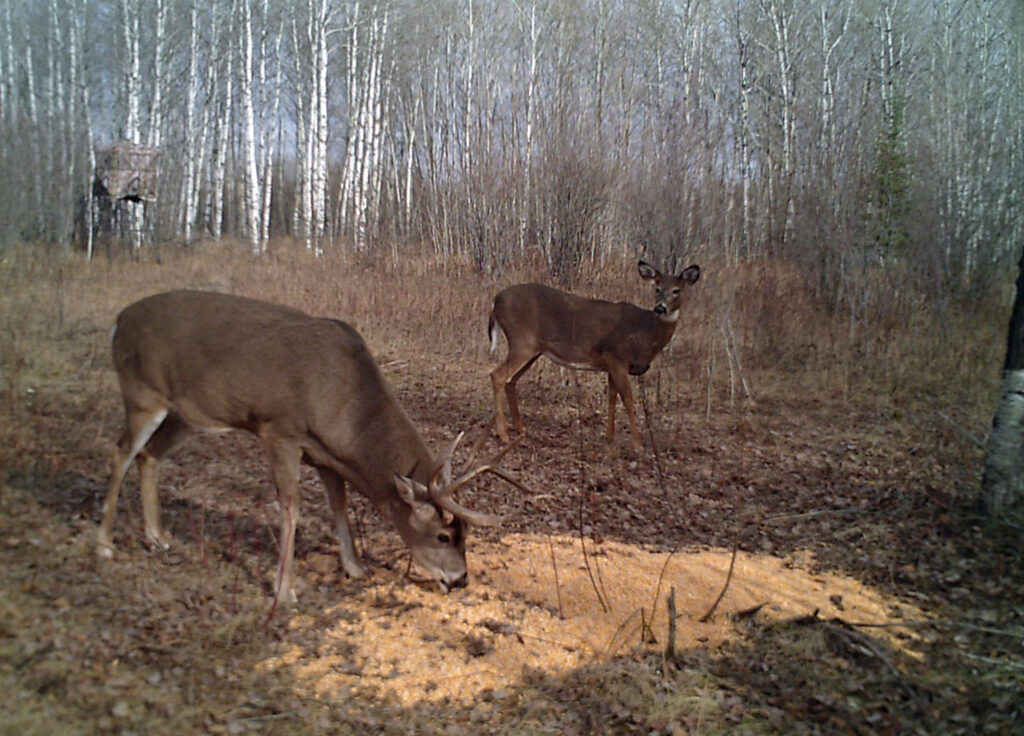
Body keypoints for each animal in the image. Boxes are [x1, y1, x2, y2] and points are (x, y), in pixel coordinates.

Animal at [98, 290, 524, 605]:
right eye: (442, 536)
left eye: (464, 533)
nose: (461, 579)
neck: (346, 406)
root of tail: (119, 319)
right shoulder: (279, 431)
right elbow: (292, 508)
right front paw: (284, 590)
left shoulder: (326, 453)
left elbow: (339, 504)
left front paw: (356, 568)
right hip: (141, 393)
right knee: (121, 452)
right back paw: (104, 543)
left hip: (184, 413)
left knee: (149, 454)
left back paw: (157, 538)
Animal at [485, 262, 696, 452]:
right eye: (657, 288)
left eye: (676, 290)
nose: (660, 308)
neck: (646, 333)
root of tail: (495, 301)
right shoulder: (617, 357)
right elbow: (628, 400)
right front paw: (638, 445)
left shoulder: (611, 365)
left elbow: (612, 396)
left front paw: (610, 437)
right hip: (522, 341)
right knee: (497, 375)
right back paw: (503, 434)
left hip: (533, 350)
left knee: (511, 381)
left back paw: (520, 429)